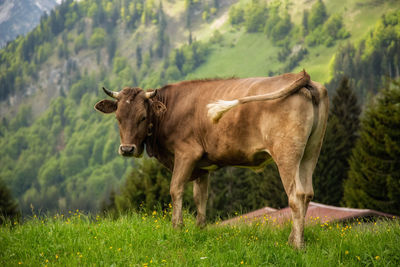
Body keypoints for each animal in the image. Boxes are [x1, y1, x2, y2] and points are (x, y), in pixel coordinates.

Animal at [94, 70, 328, 249]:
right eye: (118, 118)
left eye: (143, 117)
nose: (127, 149)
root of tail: (301, 77)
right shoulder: (202, 165)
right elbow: (201, 196)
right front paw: (200, 228)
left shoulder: (187, 153)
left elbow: (176, 188)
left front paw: (177, 227)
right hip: (311, 151)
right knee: (307, 193)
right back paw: (295, 240)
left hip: (286, 153)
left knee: (296, 195)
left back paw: (297, 246)